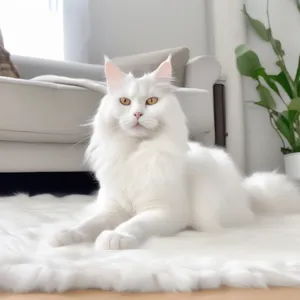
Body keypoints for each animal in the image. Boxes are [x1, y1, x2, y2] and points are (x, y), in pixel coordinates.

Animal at [48, 55, 300, 248]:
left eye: (151, 101)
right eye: (125, 102)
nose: (137, 114)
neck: (135, 154)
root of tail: (245, 189)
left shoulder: (162, 212)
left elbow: (133, 223)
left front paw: (115, 237)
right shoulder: (113, 209)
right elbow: (89, 224)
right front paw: (66, 234)